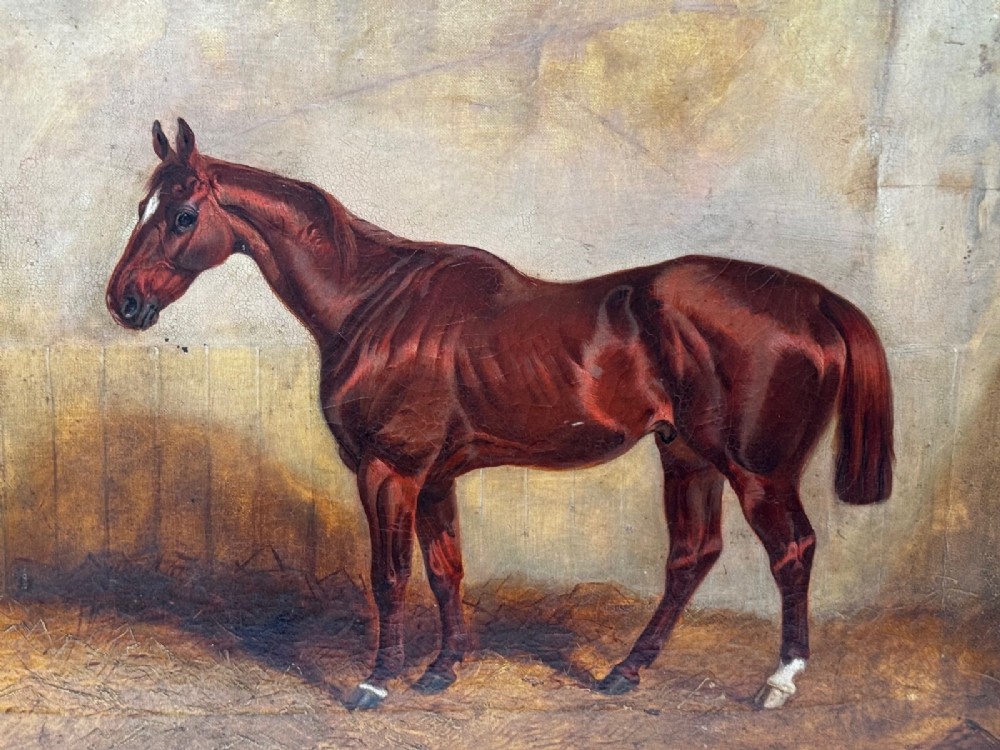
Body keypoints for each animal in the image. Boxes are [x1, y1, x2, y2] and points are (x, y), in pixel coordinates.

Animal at [106, 119, 894, 711]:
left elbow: (389, 575)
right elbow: (444, 569)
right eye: (140, 210)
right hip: (686, 456)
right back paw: (623, 673)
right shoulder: (434, 477)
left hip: (757, 471)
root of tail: (816, 300)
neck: (376, 302)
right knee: (691, 557)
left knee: (791, 552)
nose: (124, 302)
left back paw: (779, 681)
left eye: (181, 216)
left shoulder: (390, 470)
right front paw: (441, 670)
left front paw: (376, 682)